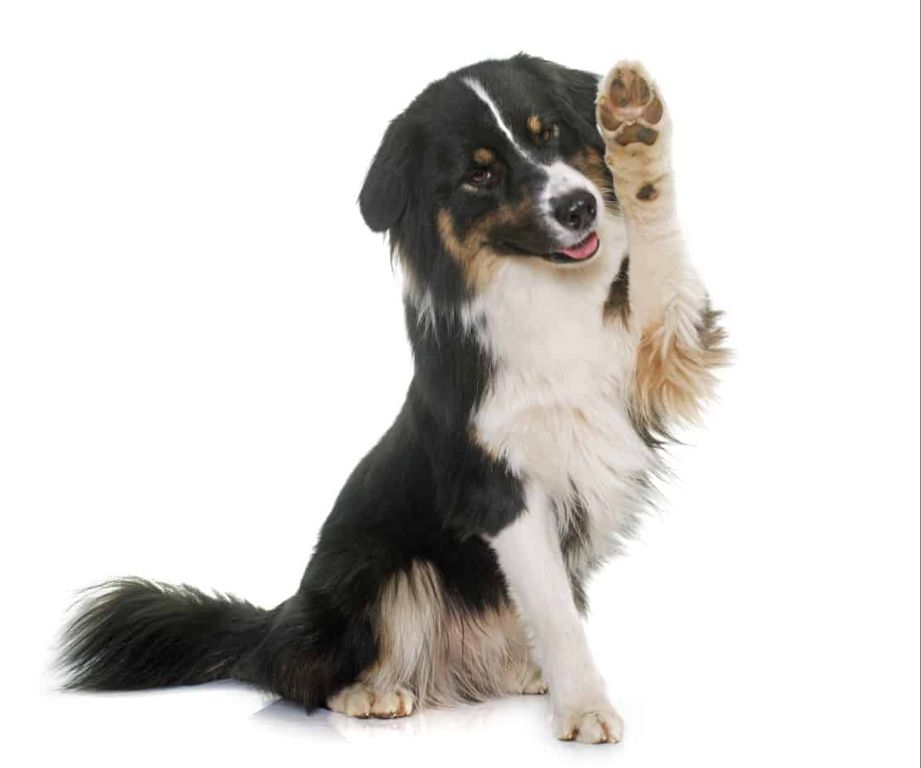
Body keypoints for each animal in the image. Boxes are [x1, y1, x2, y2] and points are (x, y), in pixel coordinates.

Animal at [61, 55, 728, 744]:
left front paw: (634, 130)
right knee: (300, 672)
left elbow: (661, 257)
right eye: (480, 173)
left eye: (548, 135)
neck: (544, 291)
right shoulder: (497, 487)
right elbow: (554, 612)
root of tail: (273, 620)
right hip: (381, 570)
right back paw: (370, 692)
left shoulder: (661, 350)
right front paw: (585, 708)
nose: (579, 206)